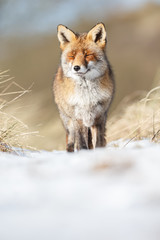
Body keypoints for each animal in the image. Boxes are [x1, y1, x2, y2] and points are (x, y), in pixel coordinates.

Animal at [53, 23, 115, 152]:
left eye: (87, 54)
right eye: (72, 56)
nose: (76, 67)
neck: (87, 97)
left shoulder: (99, 117)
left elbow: (99, 142)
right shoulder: (78, 118)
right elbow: (81, 144)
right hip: (69, 124)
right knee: (71, 143)